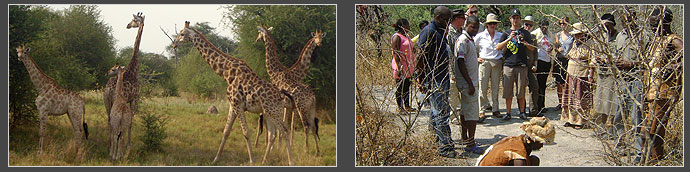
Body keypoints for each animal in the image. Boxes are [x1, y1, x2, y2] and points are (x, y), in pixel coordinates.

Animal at [172, 21, 296, 165]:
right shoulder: (232, 105)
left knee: (284, 131)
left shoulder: (238, 105)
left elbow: (246, 132)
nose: (174, 44)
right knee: (273, 134)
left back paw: (291, 162)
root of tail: (281, 97)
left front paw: (252, 161)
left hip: (274, 112)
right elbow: (226, 131)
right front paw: (216, 159)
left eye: (182, 34)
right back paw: (264, 161)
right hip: (268, 112)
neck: (226, 72)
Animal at [255, 25, 320, 153]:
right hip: (310, 108)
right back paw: (317, 150)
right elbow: (286, 125)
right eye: (316, 37)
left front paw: (281, 146)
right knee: (312, 125)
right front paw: (282, 146)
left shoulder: (287, 106)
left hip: (302, 108)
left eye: (259, 32)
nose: (257, 39)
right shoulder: (287, 106)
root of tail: (313, 96)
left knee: (307, 125)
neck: (276, 72)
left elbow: (286, 125)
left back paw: (306, 149)